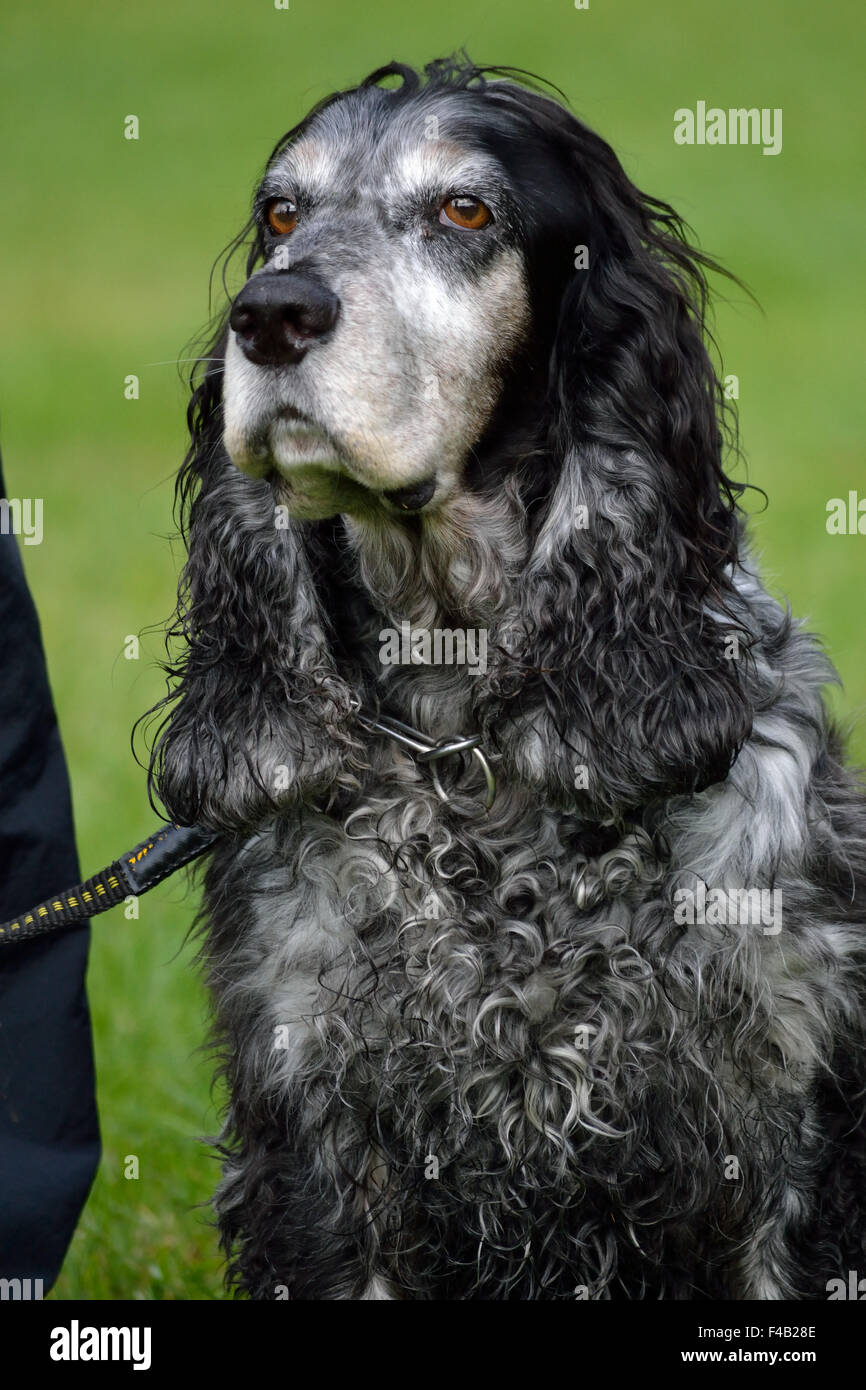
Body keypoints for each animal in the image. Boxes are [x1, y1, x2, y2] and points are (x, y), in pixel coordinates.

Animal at [148, 51, 866, 1289]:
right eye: (280, 214)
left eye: (465, 212)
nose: (273, 314)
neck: (461, 742)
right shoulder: (313, 1133)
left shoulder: (790, 1120)